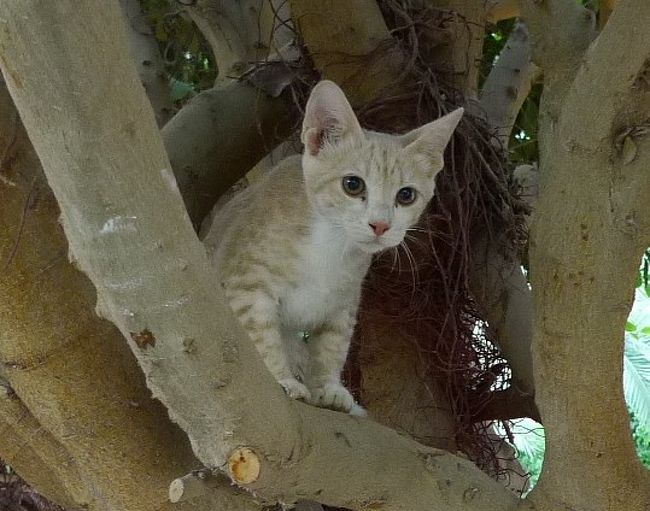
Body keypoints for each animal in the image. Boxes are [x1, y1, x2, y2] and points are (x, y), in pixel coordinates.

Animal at [202, 81, 460, 416]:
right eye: (353, 184)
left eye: (406, 195)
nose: (381, 225)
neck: (329, 245)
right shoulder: (246, 285)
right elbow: (260, 333)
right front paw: (282, 378)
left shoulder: (343, 303)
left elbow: (332, 347)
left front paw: (328, 387)